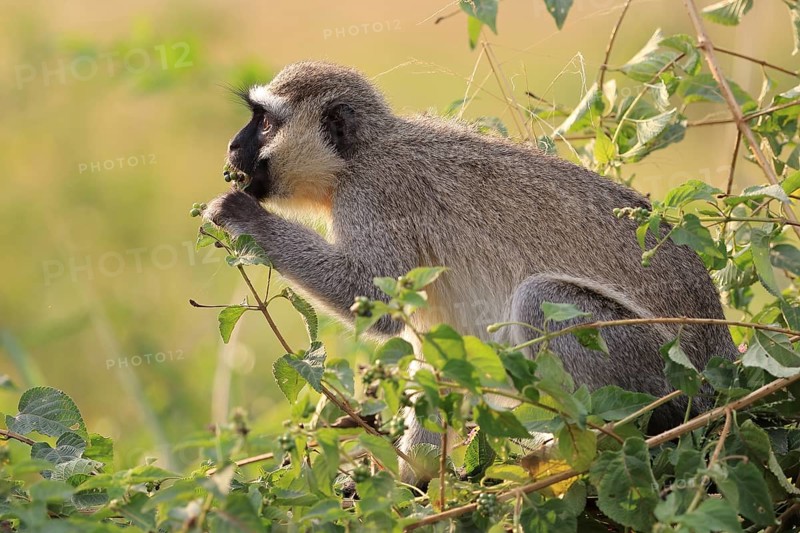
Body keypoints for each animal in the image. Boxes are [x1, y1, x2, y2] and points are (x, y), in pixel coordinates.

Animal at [204, 60, 738, 482]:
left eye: (264, 124)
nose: (230, 147)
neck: (358, 157)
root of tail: (722, 357)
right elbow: (439, 360)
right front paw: (415, 485)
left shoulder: (374, 196)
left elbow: (377, 304)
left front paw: (243, 217)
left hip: (659, 373)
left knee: (542, 297)